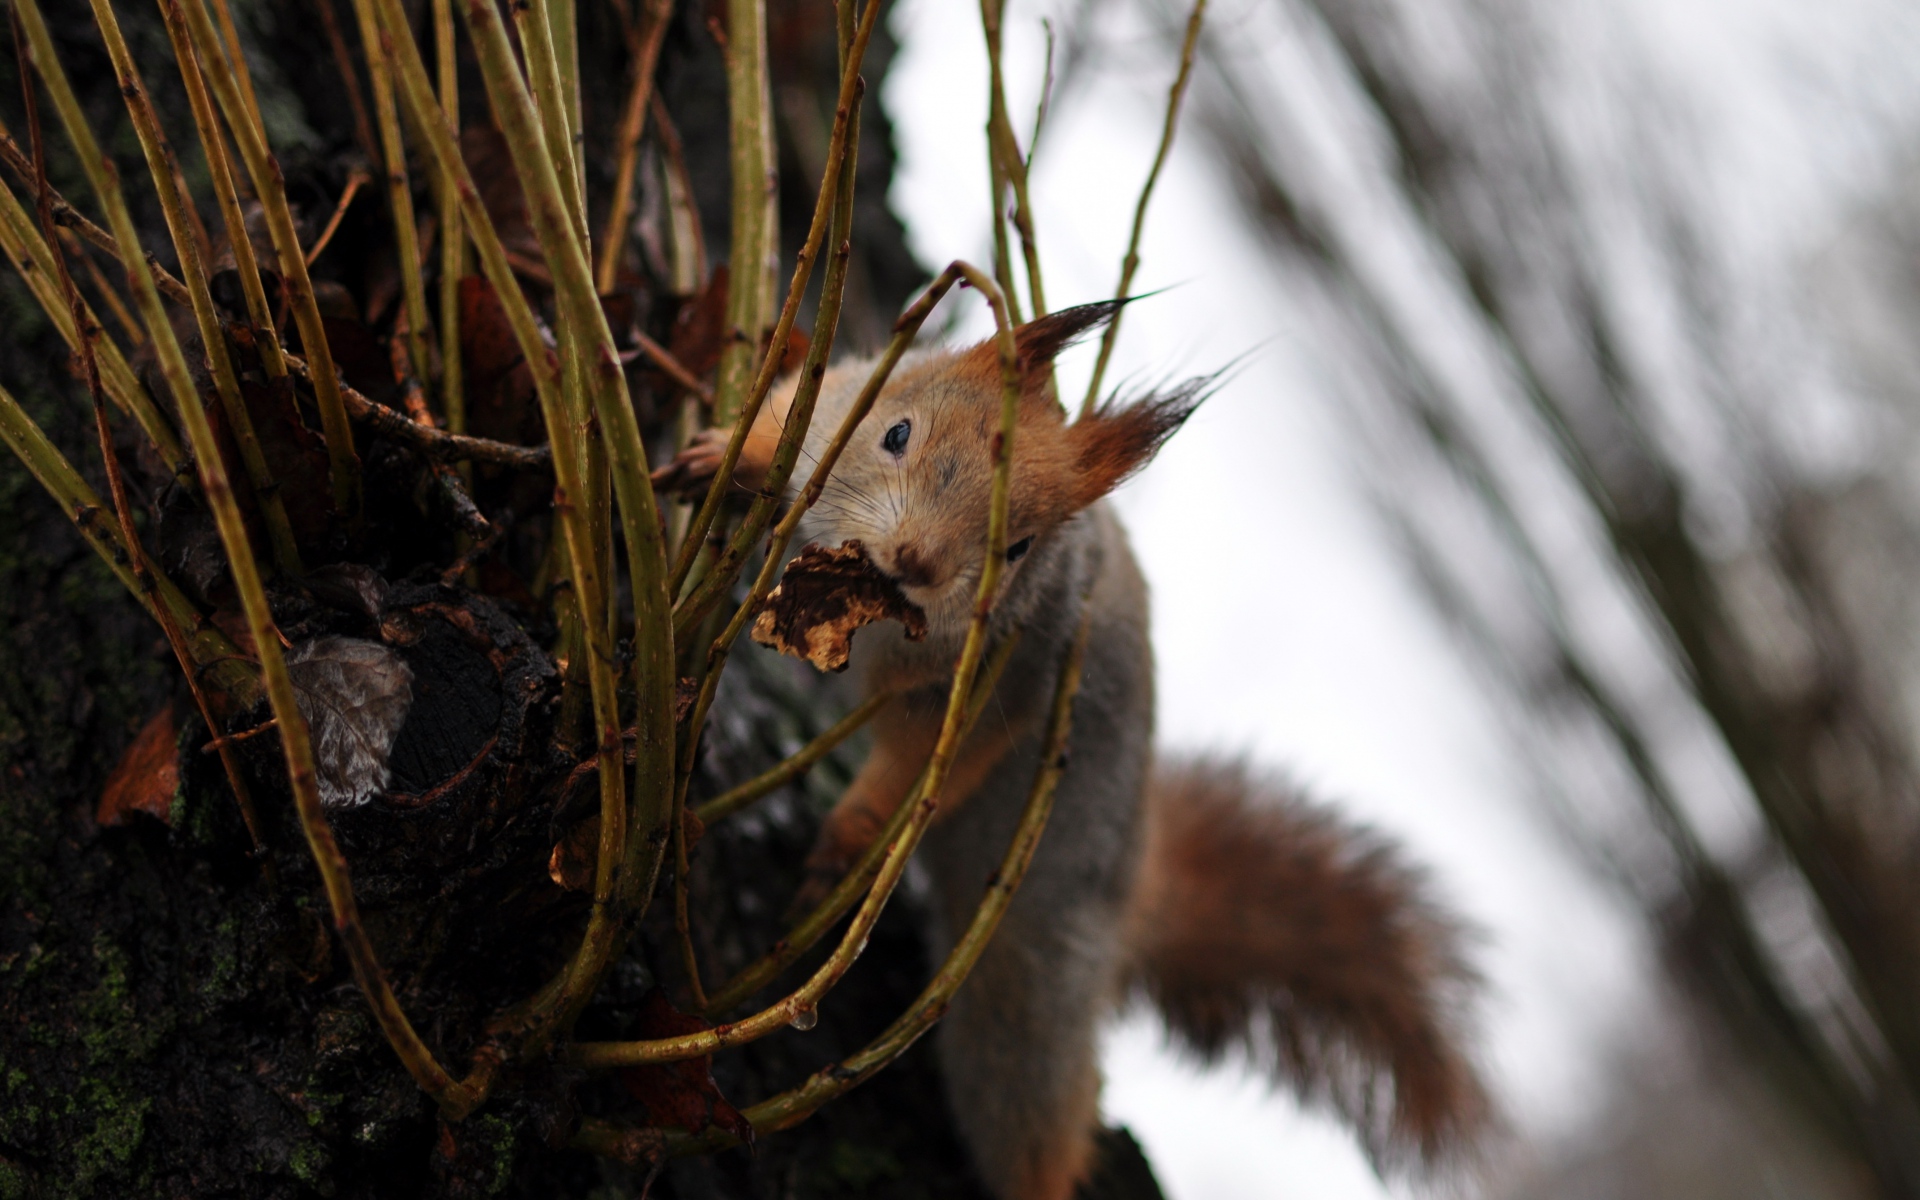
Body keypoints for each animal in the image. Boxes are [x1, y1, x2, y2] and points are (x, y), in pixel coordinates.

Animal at [659, 301, 1493, 1200]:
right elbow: (786, 413)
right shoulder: (841, 396)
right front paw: (718, 454)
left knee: (1034, 1120)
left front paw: (842, 845)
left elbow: (911, 776)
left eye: (1021, 548)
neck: (876, 611)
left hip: (1029, 996)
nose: (918, 562)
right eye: (896, 432)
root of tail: (1133, 900)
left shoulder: (1000, 685)